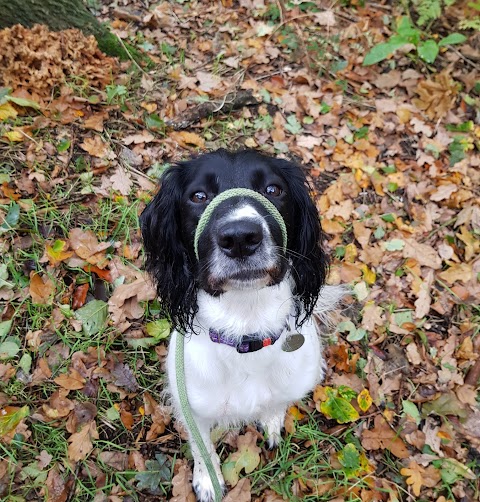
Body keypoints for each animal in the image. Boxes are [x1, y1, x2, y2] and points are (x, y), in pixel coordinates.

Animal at [141, 150, 344, 502]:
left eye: (273, 189)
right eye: (198, 196)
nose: (240, 238)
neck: (246, 328)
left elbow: (277, 402)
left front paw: (272, 421)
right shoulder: (192, 405)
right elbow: (202, 446)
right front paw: (208, 481)